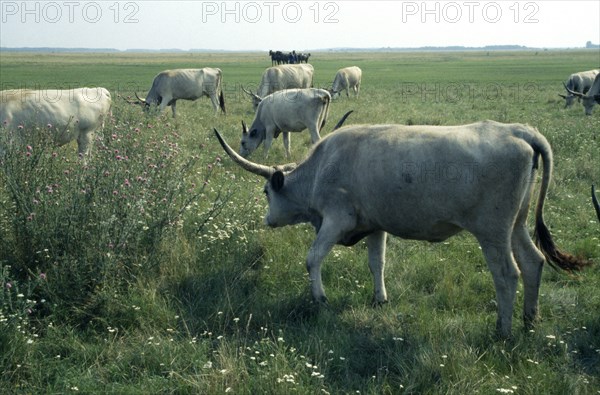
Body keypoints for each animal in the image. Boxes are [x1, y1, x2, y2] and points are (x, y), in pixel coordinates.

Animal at [212, 120, 592, 338]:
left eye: (266, 192)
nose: (267, 220)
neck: (321, 167)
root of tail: (518, 130)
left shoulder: (337, 219)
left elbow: (313, 257)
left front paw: (319, 298)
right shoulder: (375, 225)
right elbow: (376, 262)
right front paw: (380, 298)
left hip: (493, 232)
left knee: (507, 274)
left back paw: (504, 330)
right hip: (517, 224)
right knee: (532, 262)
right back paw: (529, 320)